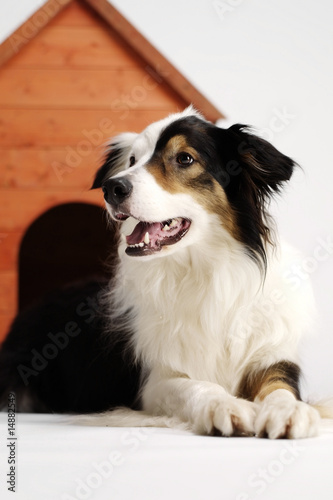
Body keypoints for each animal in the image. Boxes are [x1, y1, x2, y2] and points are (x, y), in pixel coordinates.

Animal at [0, 106, 328, 438]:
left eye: (184, 158)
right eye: (133, 160)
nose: (111, 187)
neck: (205, 271)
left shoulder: (272, 357)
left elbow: (280, 387)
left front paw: (288, 412)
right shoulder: (154, 382)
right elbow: (196, 387)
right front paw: (226, 407)